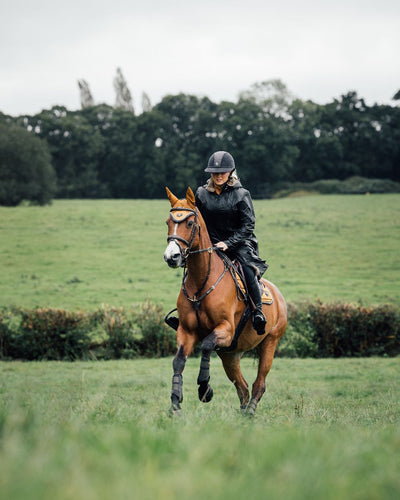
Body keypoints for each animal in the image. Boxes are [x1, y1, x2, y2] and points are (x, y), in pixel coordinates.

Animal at [163, 187, 288, 414]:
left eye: (190, 223)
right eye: (168, 222)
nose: (171, 257)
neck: (202, 282)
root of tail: (278, 294)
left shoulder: (226, 330)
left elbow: (205, 345)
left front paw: (205, 389)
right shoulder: (186, 331)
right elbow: (178, 361)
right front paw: (175, 403)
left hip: (269, 343)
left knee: (259, 383)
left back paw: (250, 411)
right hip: (230, 354)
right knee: (242, 386)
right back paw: (243, 413)